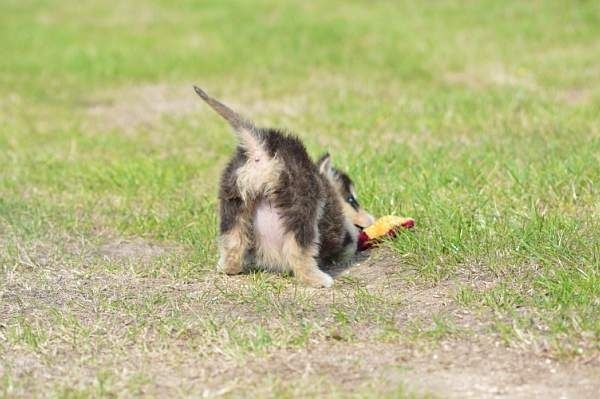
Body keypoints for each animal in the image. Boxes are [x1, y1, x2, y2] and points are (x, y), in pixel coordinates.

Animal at [195, 86, 372, 288]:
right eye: (351, 199)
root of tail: (261, 150)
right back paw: (317, 279)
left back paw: (228, 267)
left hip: (234, 202)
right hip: (302, 206)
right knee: (298, 251)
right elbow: (350, 244)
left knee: (232, 241)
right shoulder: (346, 237)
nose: (371, 220)